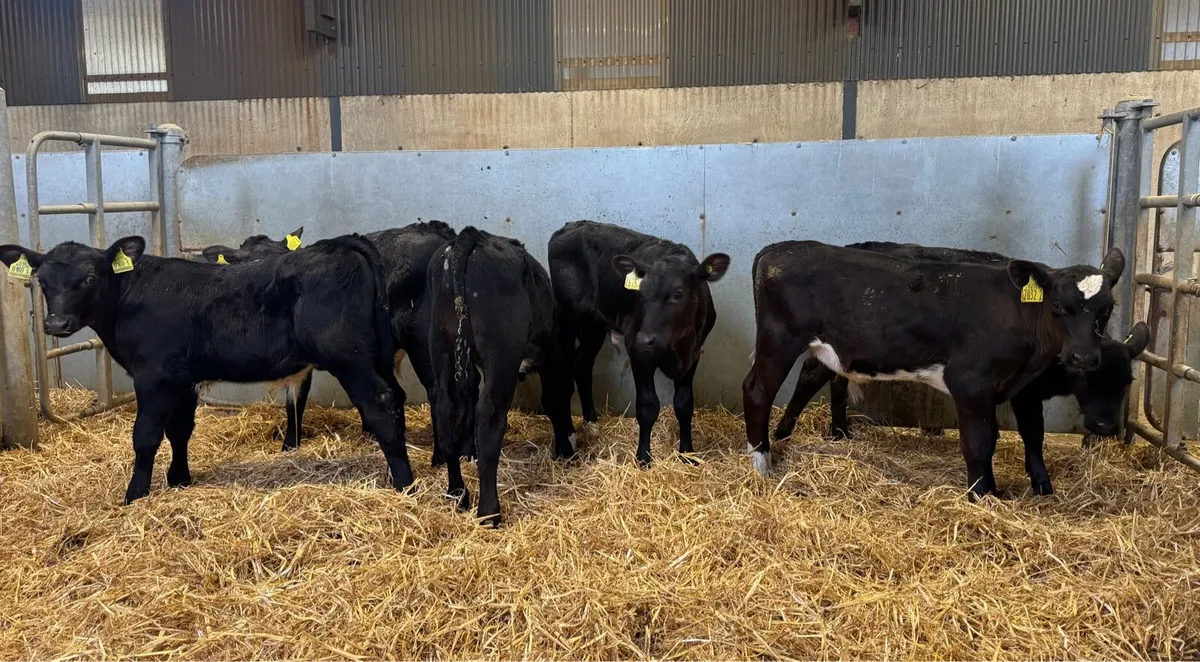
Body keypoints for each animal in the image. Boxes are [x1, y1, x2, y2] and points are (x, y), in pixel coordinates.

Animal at [0, 235, 414, 504]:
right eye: (42, 281)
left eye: (89, 278)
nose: (55, 324)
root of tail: (340, 244)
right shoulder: (182, 379)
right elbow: (180, 431)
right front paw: (179, 479)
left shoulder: (153, 376)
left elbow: (145, 435)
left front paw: (135, 495)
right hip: (375, 354)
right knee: (396, 397)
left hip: (349, 356)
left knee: (381, 404)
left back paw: (404, 483)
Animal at [427, 227, 576, 526]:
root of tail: (472, 236)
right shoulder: (551, 356)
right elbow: (553, 399)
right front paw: (565, 448)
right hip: (502, 352)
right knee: (489, 416)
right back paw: (489, 511)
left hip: (441, 344)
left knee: (446, 411)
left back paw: (457, 493)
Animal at [548, 220, 729, 466]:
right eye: (641, 294)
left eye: (678, 293)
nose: (644, 338)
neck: (678, 344)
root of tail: (569, 226)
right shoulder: (638, 351)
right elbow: (647, 405)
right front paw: (643, 457)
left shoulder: (693, 354)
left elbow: (684, 404)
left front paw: (687, 454)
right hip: (568, 317)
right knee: (564, 374)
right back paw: (569, 435)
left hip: (595, 323)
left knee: (582, 364)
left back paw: (592, 424)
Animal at [743, 240, 1125, 498]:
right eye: (1057, 305)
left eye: (1108, 308)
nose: (1083, 358)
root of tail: (778, 249)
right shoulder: (970, 383)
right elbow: (979, 442)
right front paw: (981, 495)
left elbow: (1004, 436)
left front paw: (995, 489)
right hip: (779, 341)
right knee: (757, 392)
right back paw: (762, 462)